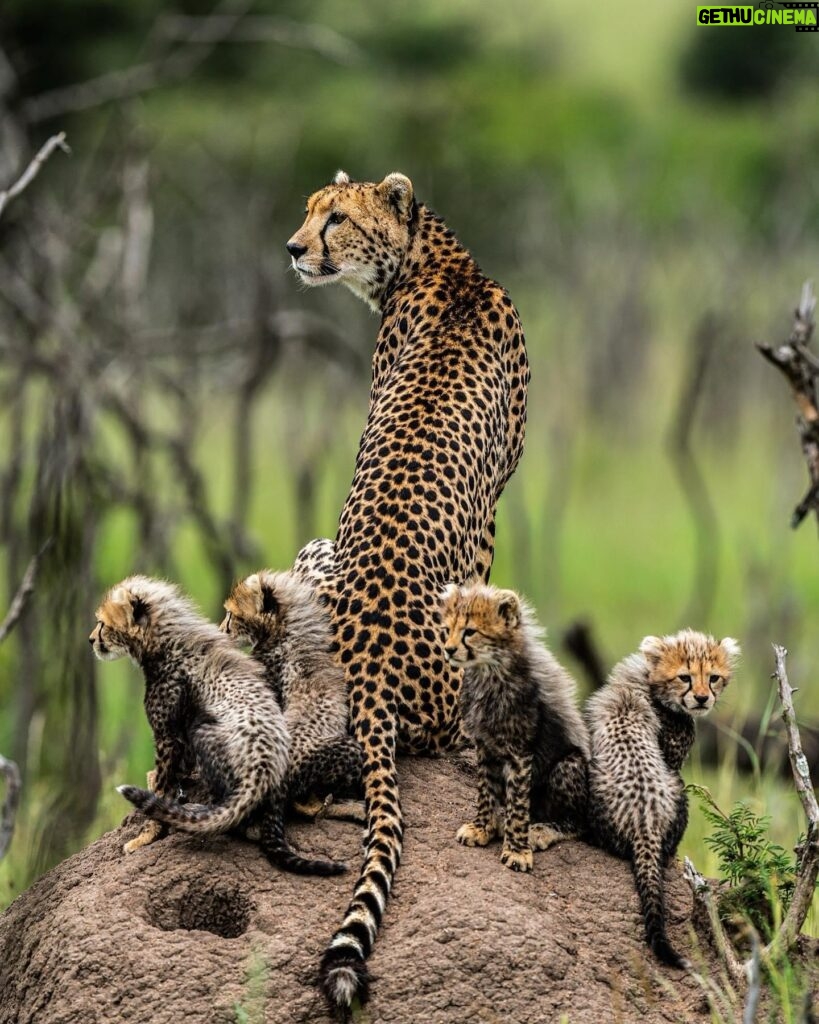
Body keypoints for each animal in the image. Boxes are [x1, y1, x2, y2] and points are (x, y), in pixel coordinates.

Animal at [288, 172, 532, 1011]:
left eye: (335, 218)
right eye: (307, 214)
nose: (292, 248)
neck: (436, 259)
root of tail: (364, 672)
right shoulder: (490, 514)